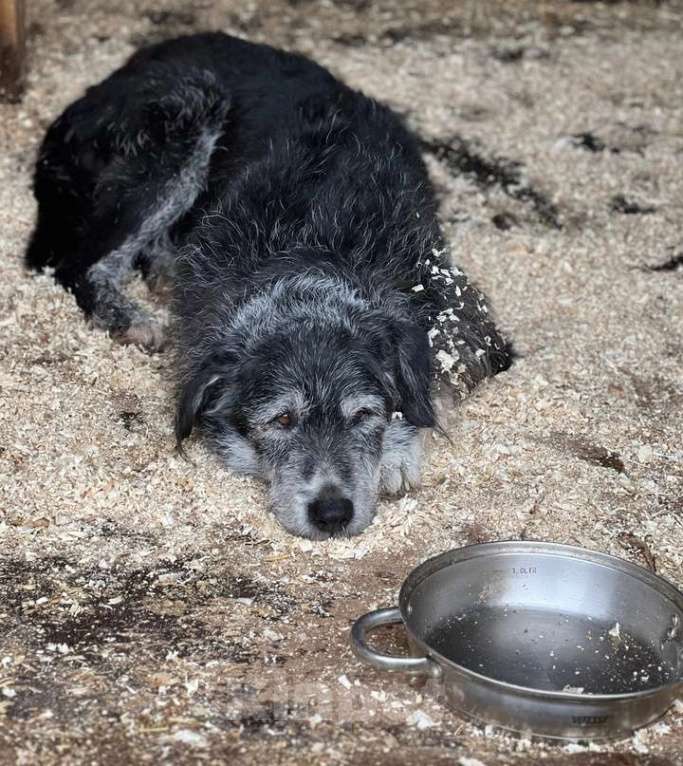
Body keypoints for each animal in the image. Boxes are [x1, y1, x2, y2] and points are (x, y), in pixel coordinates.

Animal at [25, 33, 512, 540]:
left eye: (363, 416)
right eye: (281, 419)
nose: (332, 513)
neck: (308, 258)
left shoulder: (466, 315)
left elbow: (434, 377)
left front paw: (397, 448)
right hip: (184, 119)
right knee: (77, 264)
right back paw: (127, 316)